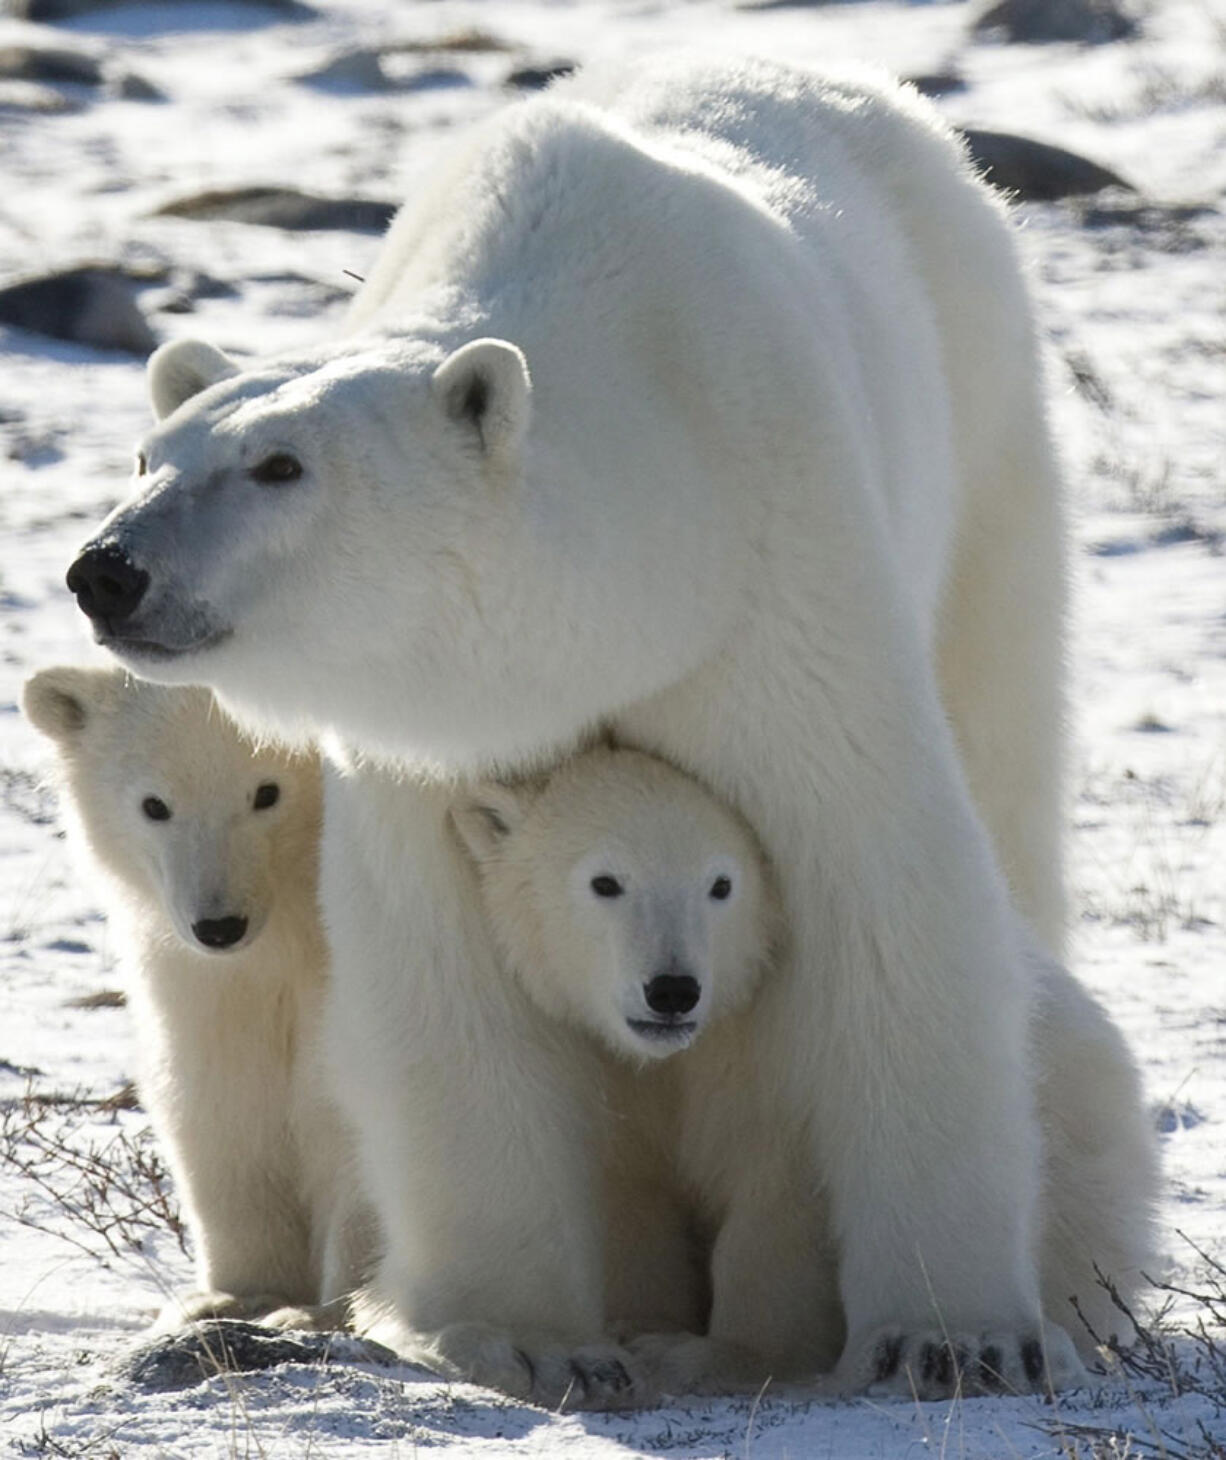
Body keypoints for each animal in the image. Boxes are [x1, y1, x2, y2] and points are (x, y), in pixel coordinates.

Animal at [69, 56, 1103, 1395]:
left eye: (280, 466)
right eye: (148, 454)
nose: (107, 570)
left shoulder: (777, 586)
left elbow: (889, 884)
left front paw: (950, 1334)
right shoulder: (432, 741)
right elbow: (437, 965)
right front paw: (522, 1332)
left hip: (982, 440)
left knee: (999, 737)